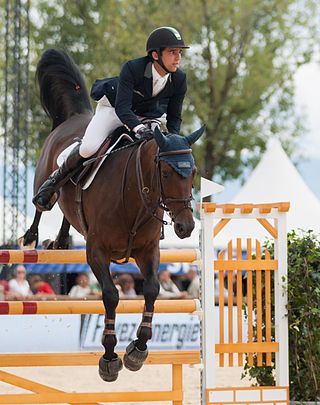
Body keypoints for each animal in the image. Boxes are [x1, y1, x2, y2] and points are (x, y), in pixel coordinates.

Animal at [26, 49, 204, 380]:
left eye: (193, 173)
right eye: (165, 172)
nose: (186, 227)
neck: (136, 194)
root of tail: (76, 117)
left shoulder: (148, 251)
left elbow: (152, 290)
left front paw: (138, 350)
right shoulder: (97, 251)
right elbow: (110, 295)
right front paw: (109, 357)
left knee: (68, 212)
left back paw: (61, 241)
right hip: (48, 171)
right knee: (46, 197)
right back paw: (32, 235)